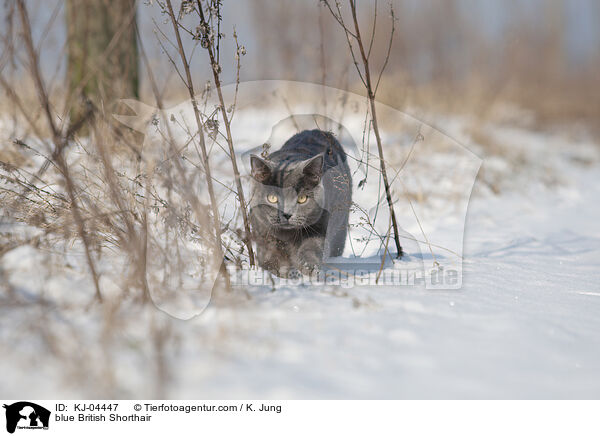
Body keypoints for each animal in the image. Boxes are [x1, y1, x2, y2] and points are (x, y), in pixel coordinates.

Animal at [248, 129, 352, 276]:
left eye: (302, 198)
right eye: (272, 198)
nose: (286, 214)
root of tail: (319, 131)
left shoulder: (320, 227)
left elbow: (312, 247)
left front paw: (309, 267)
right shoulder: (263, 232)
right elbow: (270, 257)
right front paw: (275, 273)